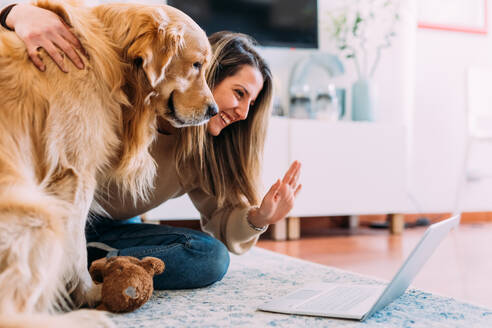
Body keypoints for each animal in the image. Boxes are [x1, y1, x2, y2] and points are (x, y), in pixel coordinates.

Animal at [0, 1, 216, 326]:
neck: (111, 56)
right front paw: (89, 293)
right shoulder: (74, 174)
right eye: (196, 65)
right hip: (40, 213)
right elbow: (76, 247)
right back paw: (86, 317)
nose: (214, 110)